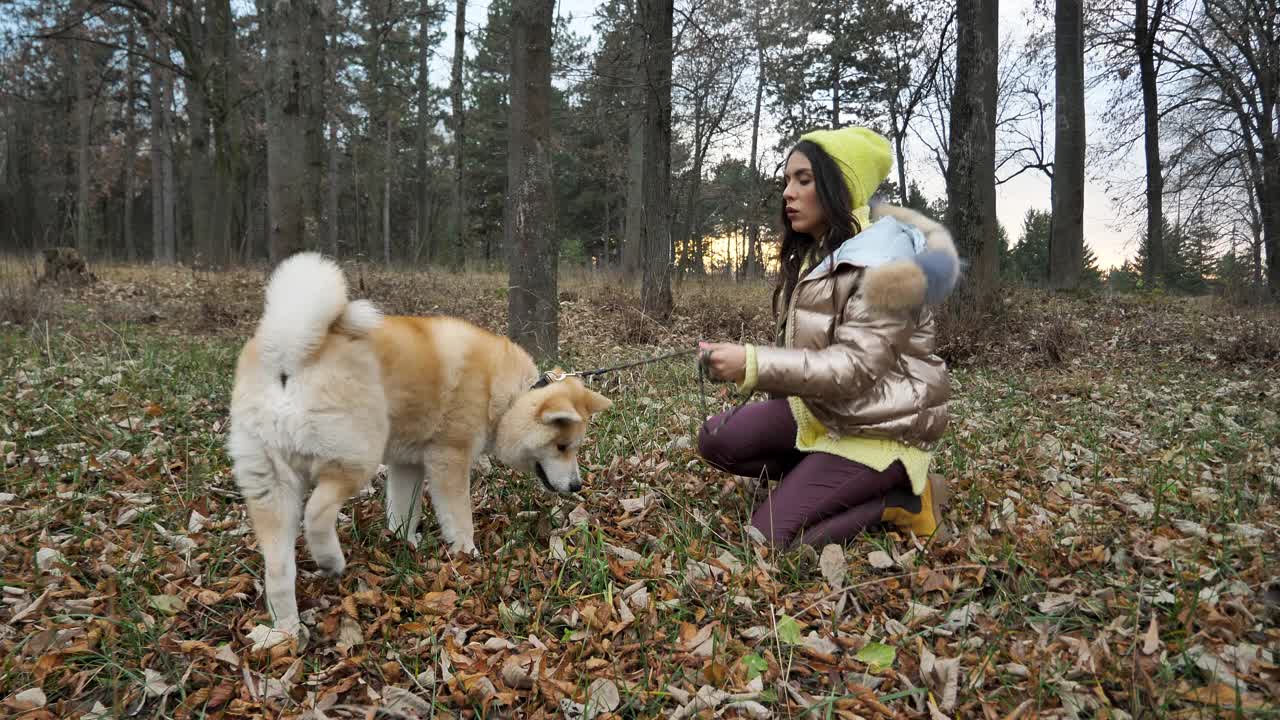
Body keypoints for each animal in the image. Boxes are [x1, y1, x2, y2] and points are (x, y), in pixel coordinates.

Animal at [227, 252, 611, 632]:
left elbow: (403, 512)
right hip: (357, 458)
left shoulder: (407, 465)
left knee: (279, 569)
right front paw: (467, 554)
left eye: (575, 447)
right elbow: (459, 516)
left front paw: (406, 543)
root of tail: (289, 352)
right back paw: (330, 560)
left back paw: (287, 630)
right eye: (561, 447)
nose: (577, 486)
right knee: (317, 513)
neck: (504, 392)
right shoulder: (449, 459)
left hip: (271, 486)